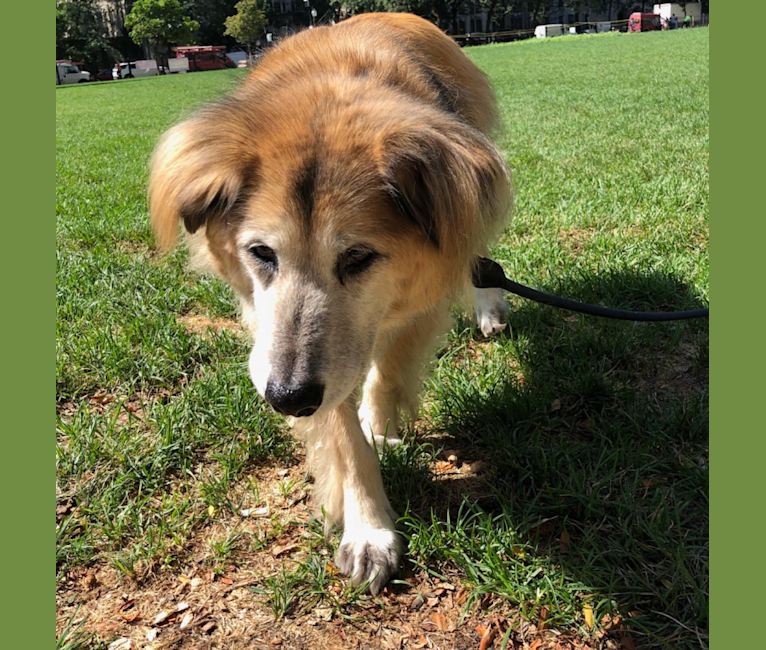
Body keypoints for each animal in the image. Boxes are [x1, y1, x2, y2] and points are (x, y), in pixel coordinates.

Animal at [148, 13, 512, 592]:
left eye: (358, 257)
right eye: (261, 253)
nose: (286, 398)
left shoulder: (421, 293)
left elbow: (384, 377)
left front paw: (380, 427)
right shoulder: (300, 355)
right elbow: (343, 438)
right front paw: (369, 528)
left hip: (468, 210)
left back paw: (489, 307)